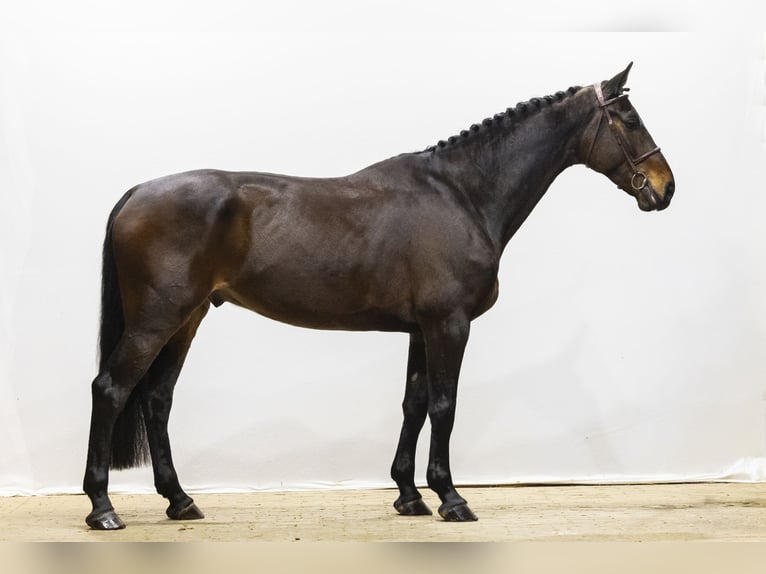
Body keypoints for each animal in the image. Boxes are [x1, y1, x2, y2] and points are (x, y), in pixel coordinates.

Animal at [83, 63, 675, 530]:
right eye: (628, 119)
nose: (665, 187)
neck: (462, 195)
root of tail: (136, 192)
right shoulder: (449, 324)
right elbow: (444, 405)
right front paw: (451, 498)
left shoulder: (420, 328)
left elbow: (414, 404)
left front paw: (410, 495)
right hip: (158, 319)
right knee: (111, 389)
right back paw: (102, 508)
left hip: (187, 319)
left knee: (157, 400)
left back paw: (180, 501)